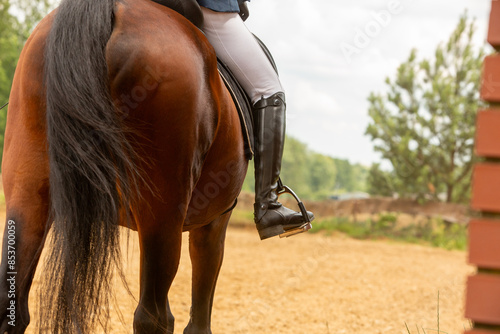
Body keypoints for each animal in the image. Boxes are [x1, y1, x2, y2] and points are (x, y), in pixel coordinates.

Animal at [0, 0, 249, 332]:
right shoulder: (215, 221)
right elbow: (199, 317)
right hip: (162, 215)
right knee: (153, 316)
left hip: (27, 194)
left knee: (12, 305)